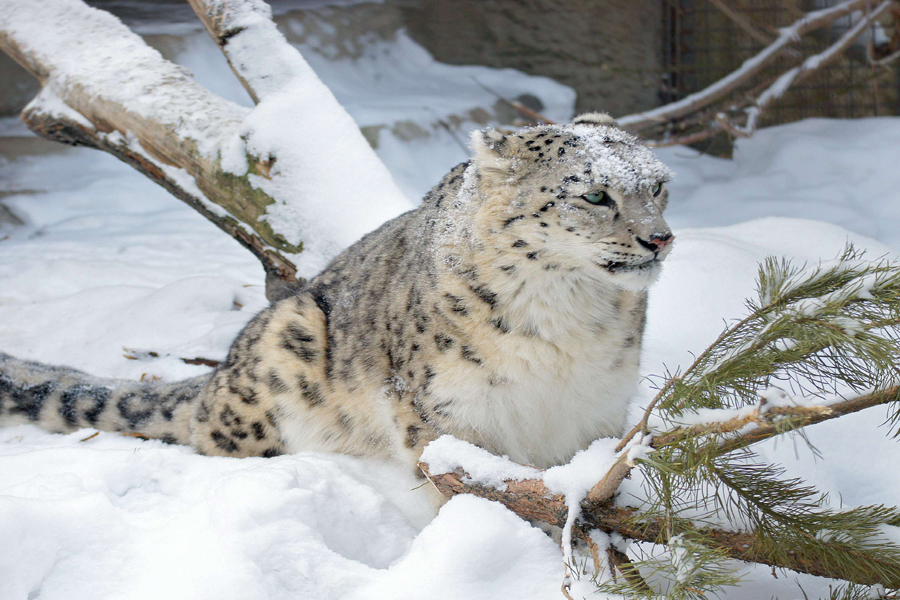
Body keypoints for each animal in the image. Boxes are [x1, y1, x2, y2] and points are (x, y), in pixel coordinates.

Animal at [0, 113, 676, 482]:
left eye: (658, 186)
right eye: (594, 195)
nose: (660, 237)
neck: (564, 322)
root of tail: (218, 375)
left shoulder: (597, 408)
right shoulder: (445, 414)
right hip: (283, 348)